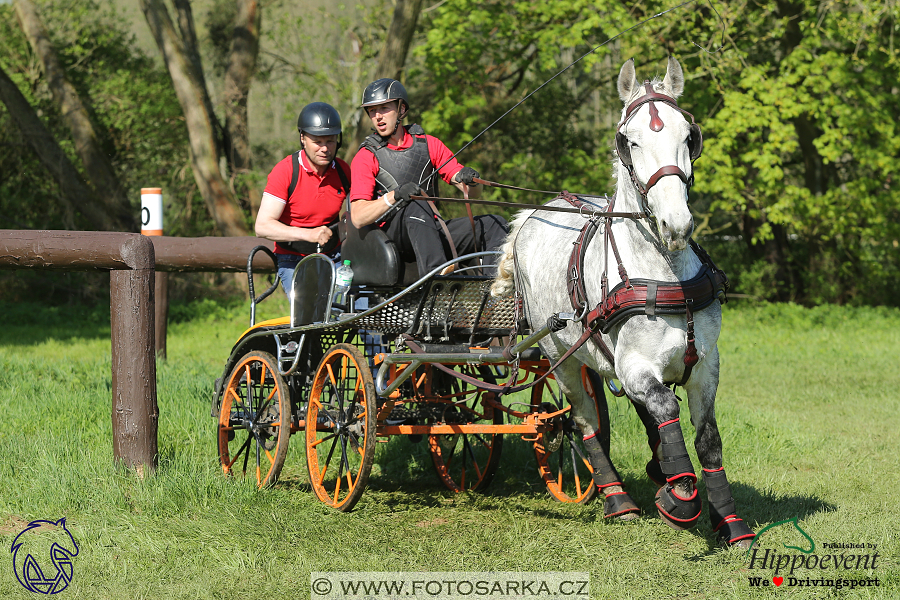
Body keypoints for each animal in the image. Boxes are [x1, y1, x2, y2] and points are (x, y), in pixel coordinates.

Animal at [496, 57, 756, 548]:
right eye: (629, 140)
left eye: (688, 136)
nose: (676, 225)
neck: (665, 273)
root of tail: (534, 213)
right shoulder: (635, 366)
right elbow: (666, 410)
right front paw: (681, 497)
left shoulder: (705, 365)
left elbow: (707, 438)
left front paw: (730, 521)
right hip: (561, 360)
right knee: (582, 421)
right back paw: (617, 499)